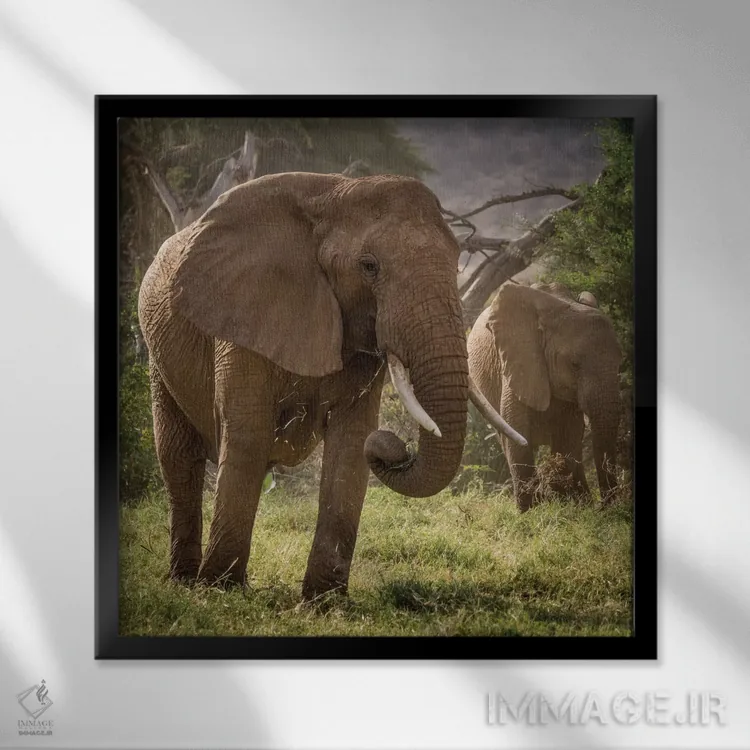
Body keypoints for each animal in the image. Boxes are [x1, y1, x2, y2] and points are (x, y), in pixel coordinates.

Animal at [138, 171, 524, 600]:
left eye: (457, 260)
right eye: (369, 266)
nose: (394, 446)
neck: (335, 194)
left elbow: (352, 440)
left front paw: (322, 602)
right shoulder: (243, 313)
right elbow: (248, 433)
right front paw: (220, 591)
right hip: (159, 358)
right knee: (178, 458)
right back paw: (185, 581)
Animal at [467, 281, 623, 511]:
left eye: (619, 362)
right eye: (574, 364)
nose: (604, 506)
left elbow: (568, 436)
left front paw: (568, 505)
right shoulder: (519, 362)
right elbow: (517, 431)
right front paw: (530, 512)